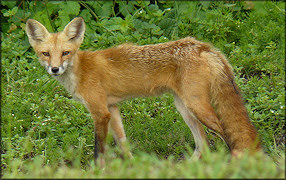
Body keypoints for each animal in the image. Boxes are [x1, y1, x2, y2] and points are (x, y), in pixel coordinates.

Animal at [26, 17, 262, 165]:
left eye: (65, 53)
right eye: (46, 54)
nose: (55, 69)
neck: (81, 70)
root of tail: (203, 46)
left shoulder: (100, 112)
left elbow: (98, 150)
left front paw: (98, 170)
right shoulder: (113, 108)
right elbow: (123, 144)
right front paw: (133, 167)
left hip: (197, 107)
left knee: (226, 134)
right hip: (185, 108)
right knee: (202, 144)